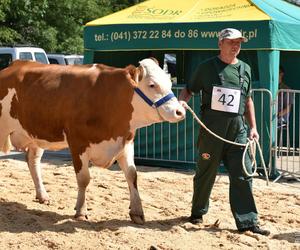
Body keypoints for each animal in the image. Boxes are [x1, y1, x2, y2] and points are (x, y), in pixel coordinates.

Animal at [0, 58, 185, 225]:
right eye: (152, 85)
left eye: (169, 82)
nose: (180, 111)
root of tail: (13, 65)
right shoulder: (77, 142)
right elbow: (84, 178)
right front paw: (81, 211)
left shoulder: (126, 142)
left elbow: (132, 175)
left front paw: (137, 212)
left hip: (36, 134)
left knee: (33, 161)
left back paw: (43, 195)